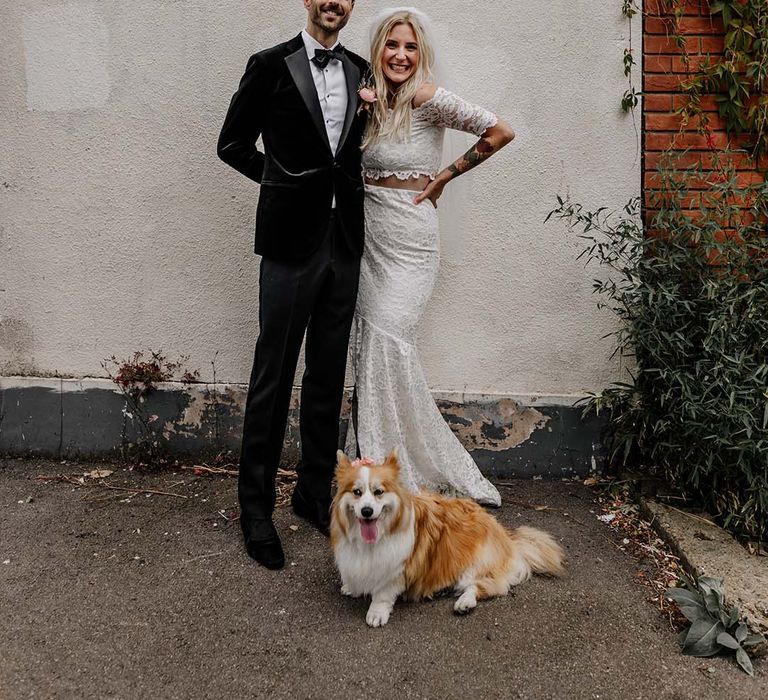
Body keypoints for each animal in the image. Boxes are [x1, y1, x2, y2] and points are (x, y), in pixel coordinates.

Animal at [328, 452, 564, 628]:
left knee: (485, 586)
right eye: (357, 492)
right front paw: (351, 586)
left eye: (379, 492)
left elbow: (382, 593)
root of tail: (507, 537)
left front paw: (376, 612)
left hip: (473, 567)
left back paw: (464, 602)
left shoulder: (396, 569)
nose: (367, 511)